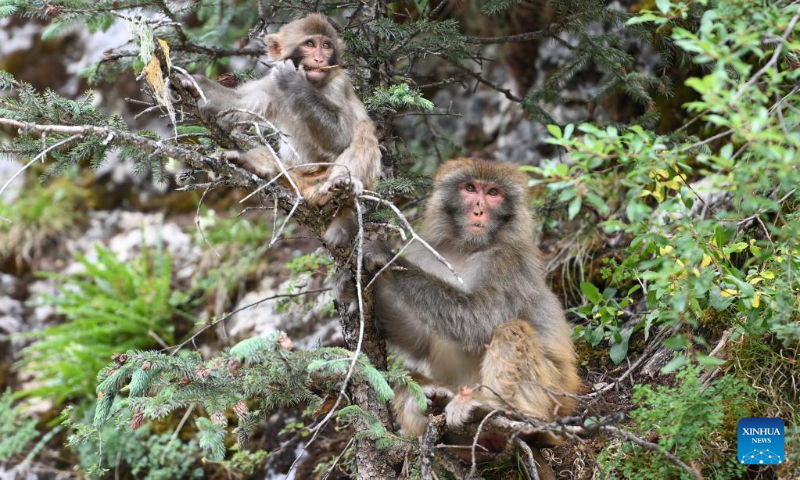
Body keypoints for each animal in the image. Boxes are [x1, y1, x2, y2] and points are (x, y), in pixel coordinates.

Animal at [180, 15, 380, 248]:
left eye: (326, 45)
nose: (320, 59)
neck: (316, 84)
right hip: (294, 178)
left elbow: (343, 137)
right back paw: (249, 163)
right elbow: (238, 104)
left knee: (363, 133)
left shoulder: (339, 84)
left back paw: (341, 183)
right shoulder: (272, 82)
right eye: (310, 44)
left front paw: (295, 82)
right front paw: (193, 84)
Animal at [344, 157, 580, 476]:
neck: (466, 247)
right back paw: (438, 404)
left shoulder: (508, 261)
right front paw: (353, 285)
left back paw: (497, 410)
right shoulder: (427, 253)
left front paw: (387, 257)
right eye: (470, 188)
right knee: (407, 381)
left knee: (510, 330)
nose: (478, 209)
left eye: (493, 193)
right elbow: (421, 341)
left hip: (554, 397)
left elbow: (479, 319)